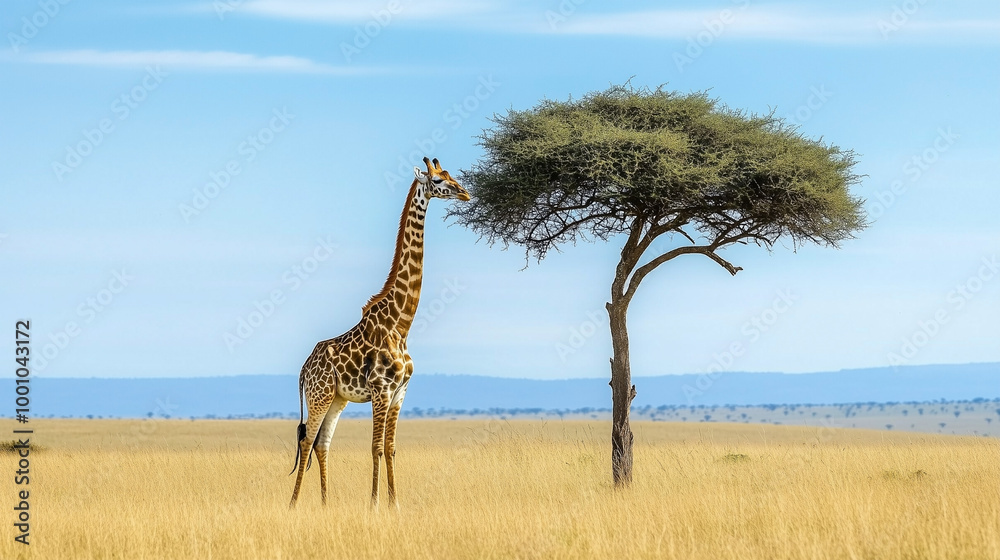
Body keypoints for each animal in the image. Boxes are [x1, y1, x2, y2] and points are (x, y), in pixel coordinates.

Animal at [288, 157, 469, 509]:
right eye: (439, 180)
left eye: (451, 174)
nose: (465, 193)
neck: (401, 324)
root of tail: (303, 368)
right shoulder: (381, 389)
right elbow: (374, 447)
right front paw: (373, 505)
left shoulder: (401, 392)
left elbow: (390, 448)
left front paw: (394, 503)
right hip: (320, 396)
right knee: (306, 441)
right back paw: (293, 505)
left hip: (337, 399)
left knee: (322, 444)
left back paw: (326, 504)